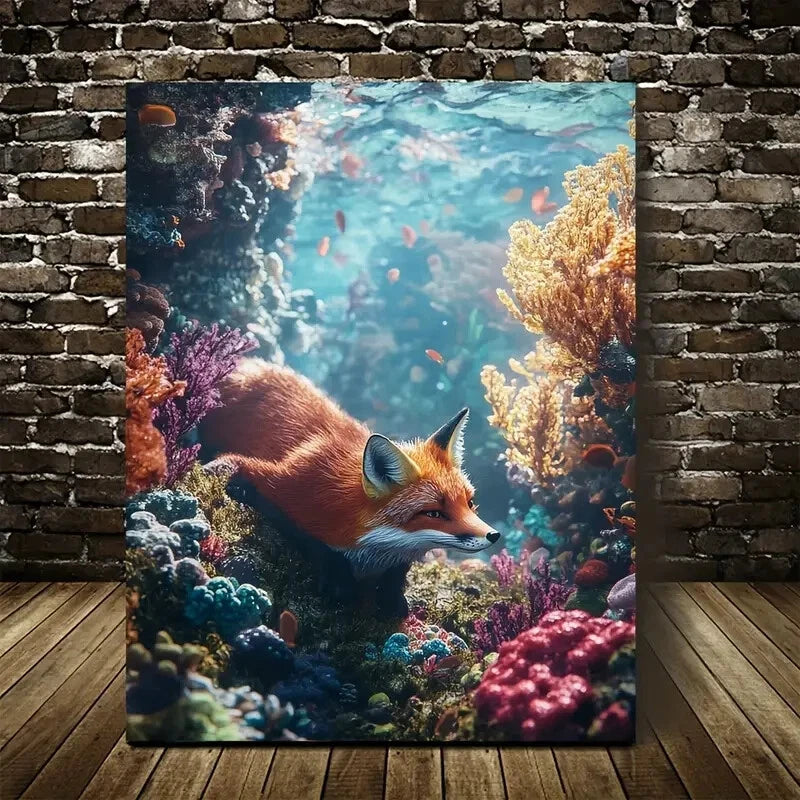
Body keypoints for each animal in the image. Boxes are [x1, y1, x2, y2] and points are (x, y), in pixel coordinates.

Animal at [201, 359, 501, 612]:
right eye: (434, 513)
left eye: (470, 503)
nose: (494, 535)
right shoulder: (287, 484)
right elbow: (312, 540)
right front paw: (340, 581)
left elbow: (398, 570)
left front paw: (391, 598)